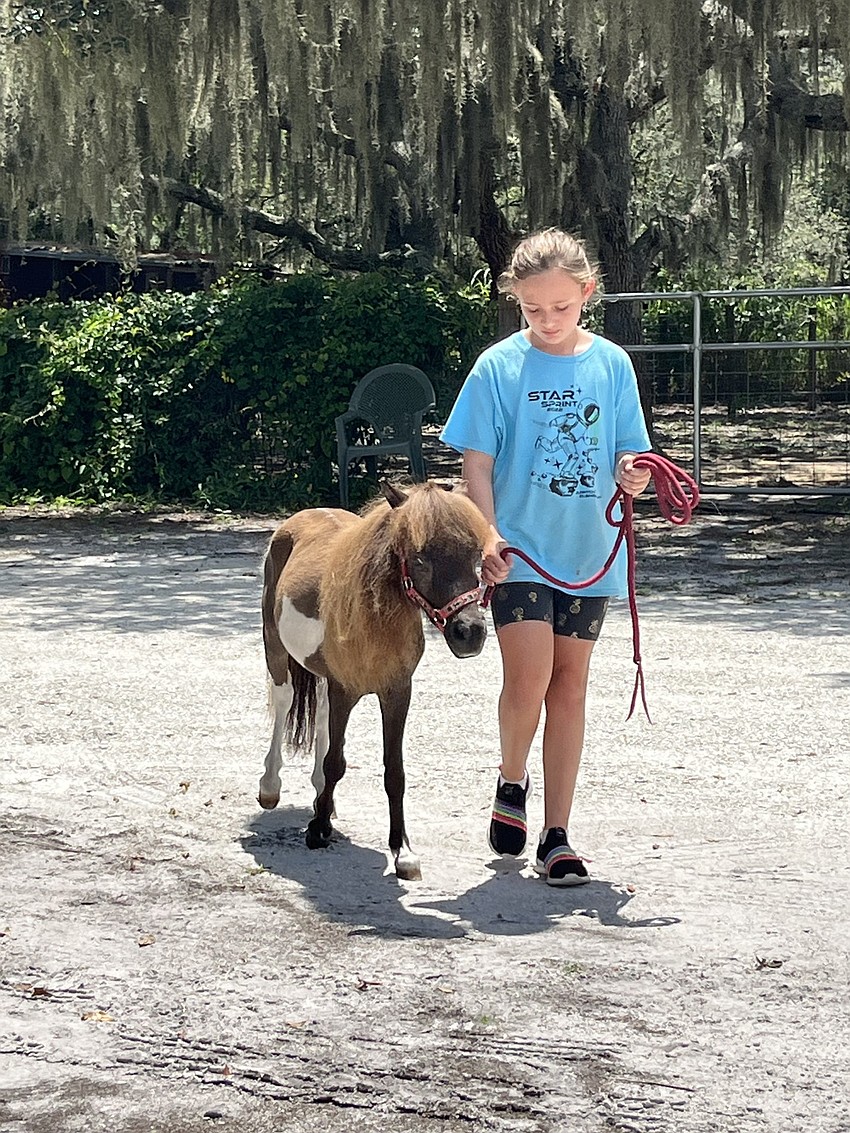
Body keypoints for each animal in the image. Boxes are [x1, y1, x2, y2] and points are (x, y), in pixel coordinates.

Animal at [258, 480, 491, 880]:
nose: (470, 633)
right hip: (275, 648)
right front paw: (317, 831)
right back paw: (271, 788)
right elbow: (336, 762)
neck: (373, 620)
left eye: (475, 553)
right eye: (420, 558)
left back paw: (322, 799)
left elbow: (394, 771)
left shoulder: (396, 692)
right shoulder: (345, 690)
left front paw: (403, 851)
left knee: (320, 717)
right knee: (285, 701)